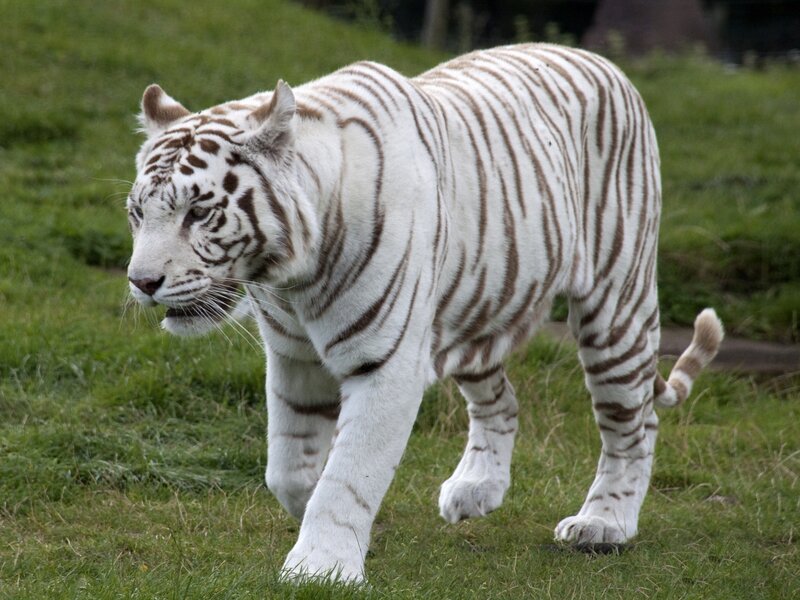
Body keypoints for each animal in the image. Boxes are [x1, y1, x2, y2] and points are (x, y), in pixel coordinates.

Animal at [125, 43, 723, 582]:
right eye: (137, 213)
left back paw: (604, 524)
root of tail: (601, 61)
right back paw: (477, 490)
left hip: (615, 305)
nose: (142, 282)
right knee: (502, 401)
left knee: (634, 422)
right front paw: (336, 531)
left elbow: (349, 472)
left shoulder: (385, 363)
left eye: (198, 212)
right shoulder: (294, 358)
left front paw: (321, 567)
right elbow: (290, 471)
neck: (290, 279)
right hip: (474, 309)